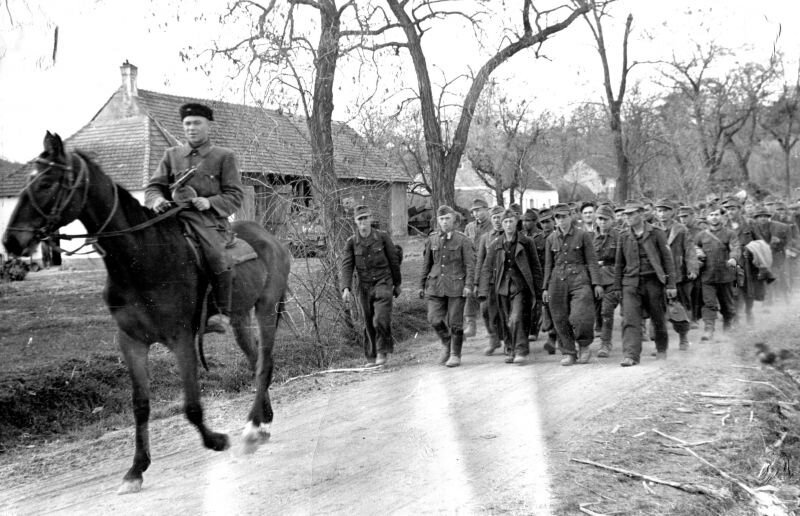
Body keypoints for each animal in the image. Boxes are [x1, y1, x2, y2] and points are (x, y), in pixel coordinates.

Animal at [3, 132, 290, 492]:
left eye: (46, 182)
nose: (11, 242)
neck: (140, 259)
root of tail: (272, 239)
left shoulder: (181, 338)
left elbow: (191, 404)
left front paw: (215, 440)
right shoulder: (131, 341)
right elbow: (140, 405)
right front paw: (136, 469)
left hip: (266, 308)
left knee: (265, 363)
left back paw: (252, 428)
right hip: (239, 316)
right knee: (255, 361)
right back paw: (263, 420)